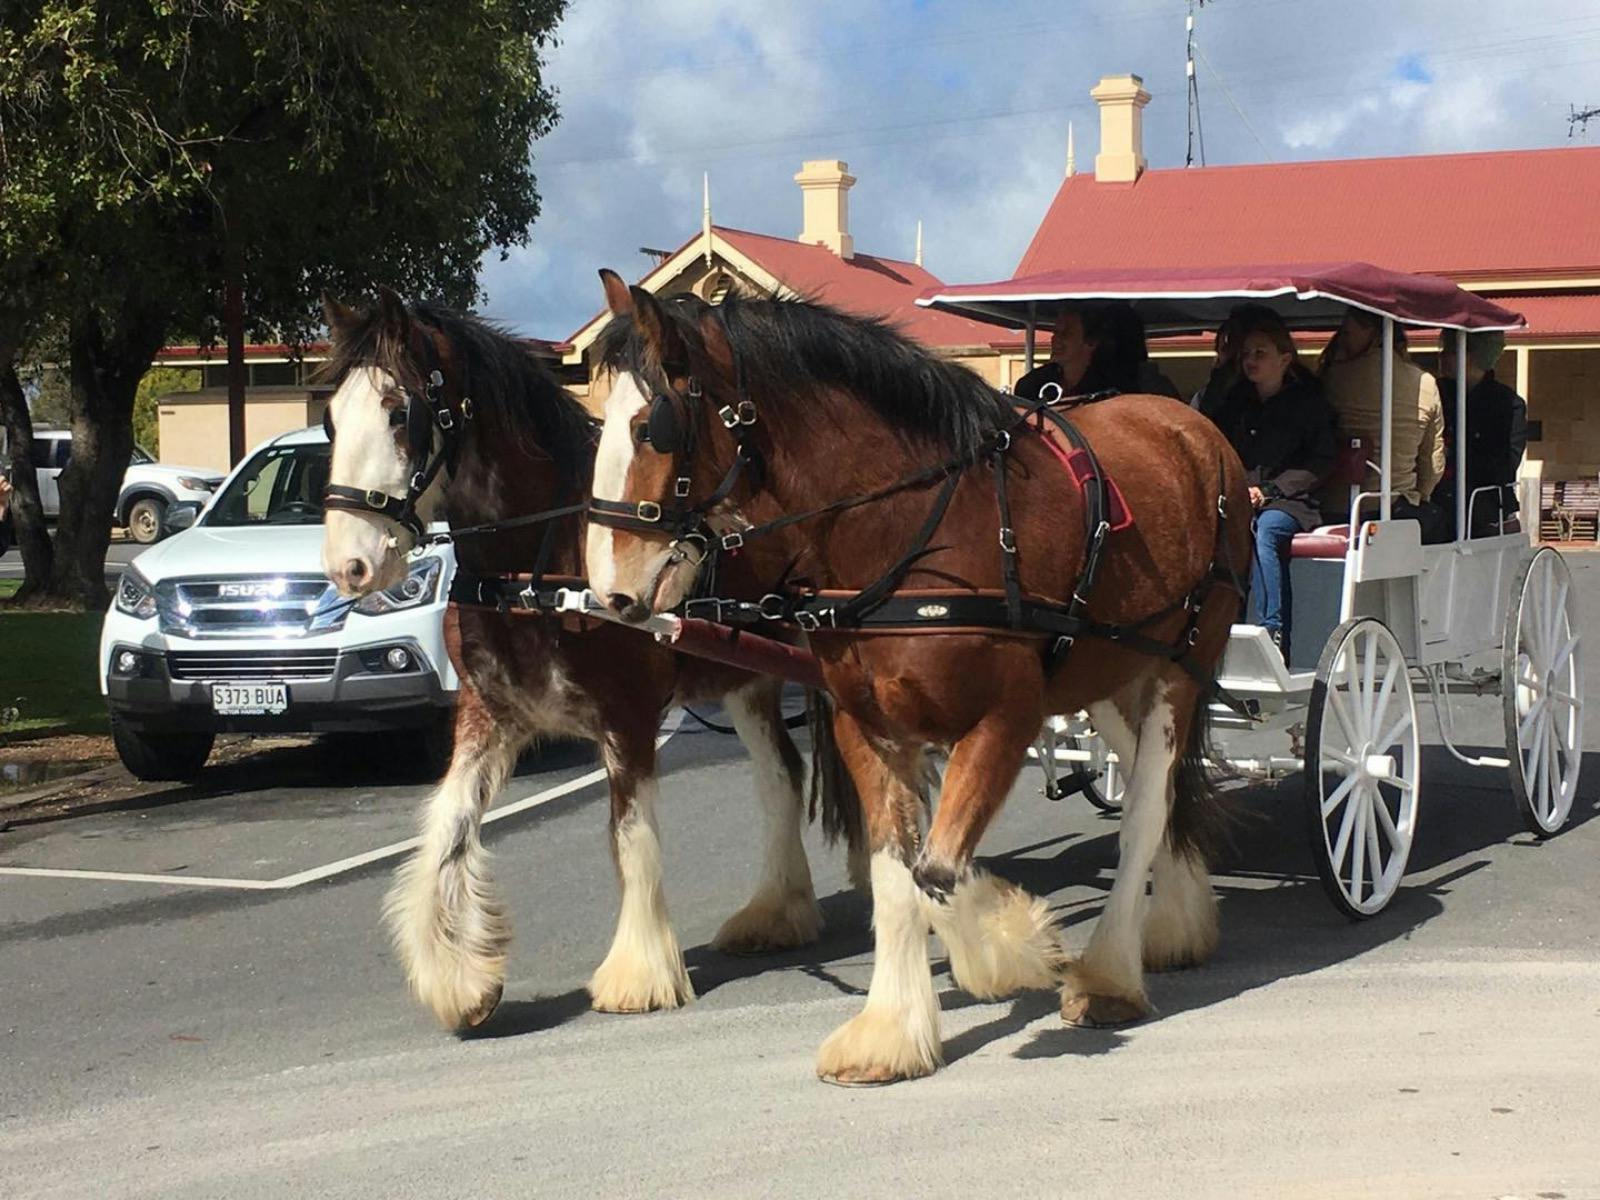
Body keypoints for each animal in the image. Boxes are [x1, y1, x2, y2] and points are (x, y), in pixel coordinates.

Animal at [318, 288, 858, 1030]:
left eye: (400, 412)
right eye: (328, 418)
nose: (348, 567)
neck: (539, 569)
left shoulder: (627, 719)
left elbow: (628, 834)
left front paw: (639, 973)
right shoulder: (488, 716)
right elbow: (448, 823)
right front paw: (459, 977)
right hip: (746, 679)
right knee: (782, 773)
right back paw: (778, 911)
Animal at [584, 273, 1251, 1084]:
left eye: (654, 427)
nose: (608, 592)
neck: (909, 532)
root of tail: (1188, 425)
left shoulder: (1005, 719)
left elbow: (937, 871)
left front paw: (1011, 946)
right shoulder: (870, 729)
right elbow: (898, 879)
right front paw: (893, 1031)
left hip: (1180, 667)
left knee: (1147, 809)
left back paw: (1110, 975)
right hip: (1115, 675)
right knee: (1165, 793)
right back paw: (1176, 925)